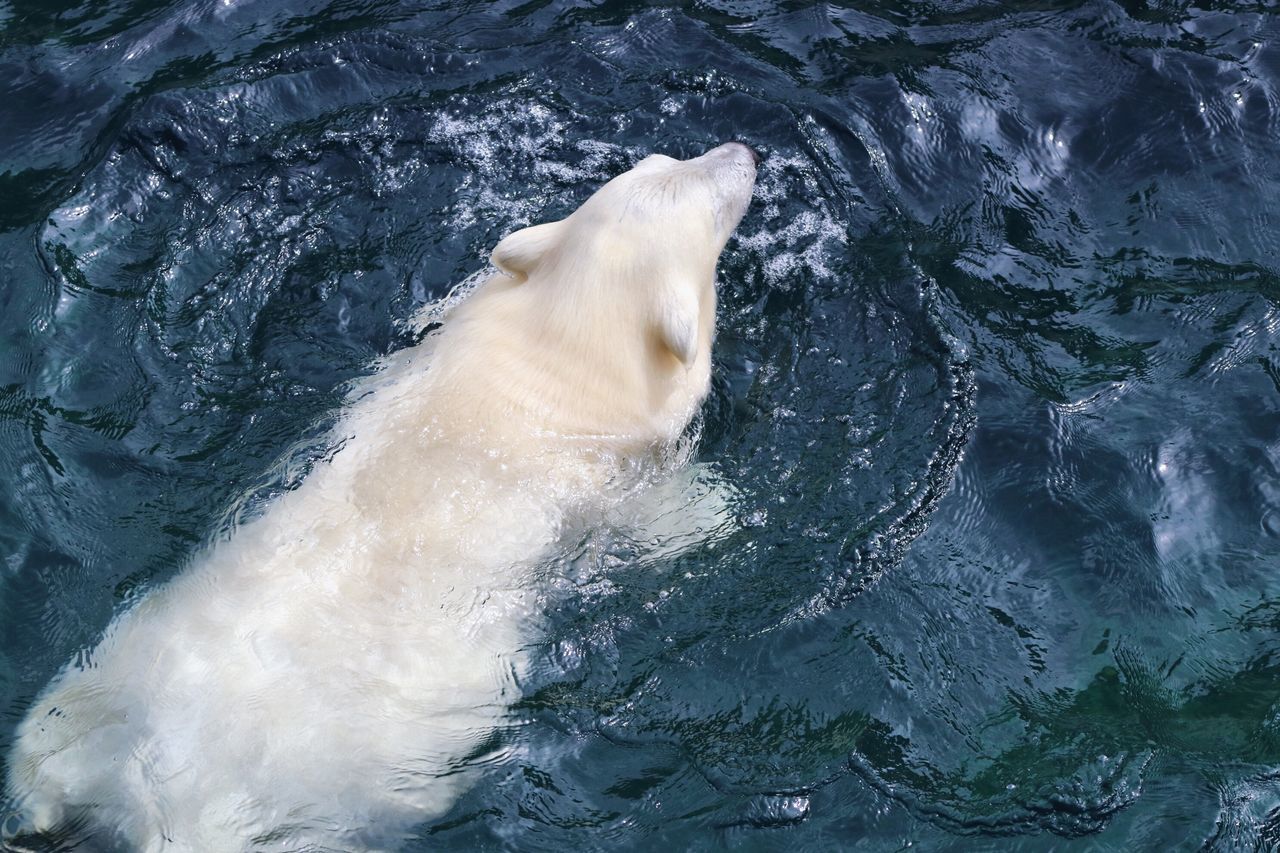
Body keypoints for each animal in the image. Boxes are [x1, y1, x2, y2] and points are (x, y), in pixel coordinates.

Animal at [2, 142, 757, 845]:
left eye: (665, 161)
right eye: (710, 201)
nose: (742, 154)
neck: (554, 352)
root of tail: (143, 790)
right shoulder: (623, 460)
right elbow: (666, 516)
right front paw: (725, 511)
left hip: (103, 676)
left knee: (44, 748)